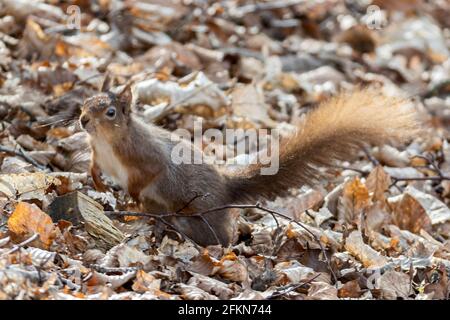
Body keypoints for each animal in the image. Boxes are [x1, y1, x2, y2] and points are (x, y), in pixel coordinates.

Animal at [80, 84, 418, 245]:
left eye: (110, 112)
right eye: (85, 102)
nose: (83, 120)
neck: (107, 142)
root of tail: (225, 188)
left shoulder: (145, 156)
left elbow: (147, 176)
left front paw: (130, 198)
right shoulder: (99, 153)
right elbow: (95, 165)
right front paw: (96, 180)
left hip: (199, 212)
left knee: (218, 238)